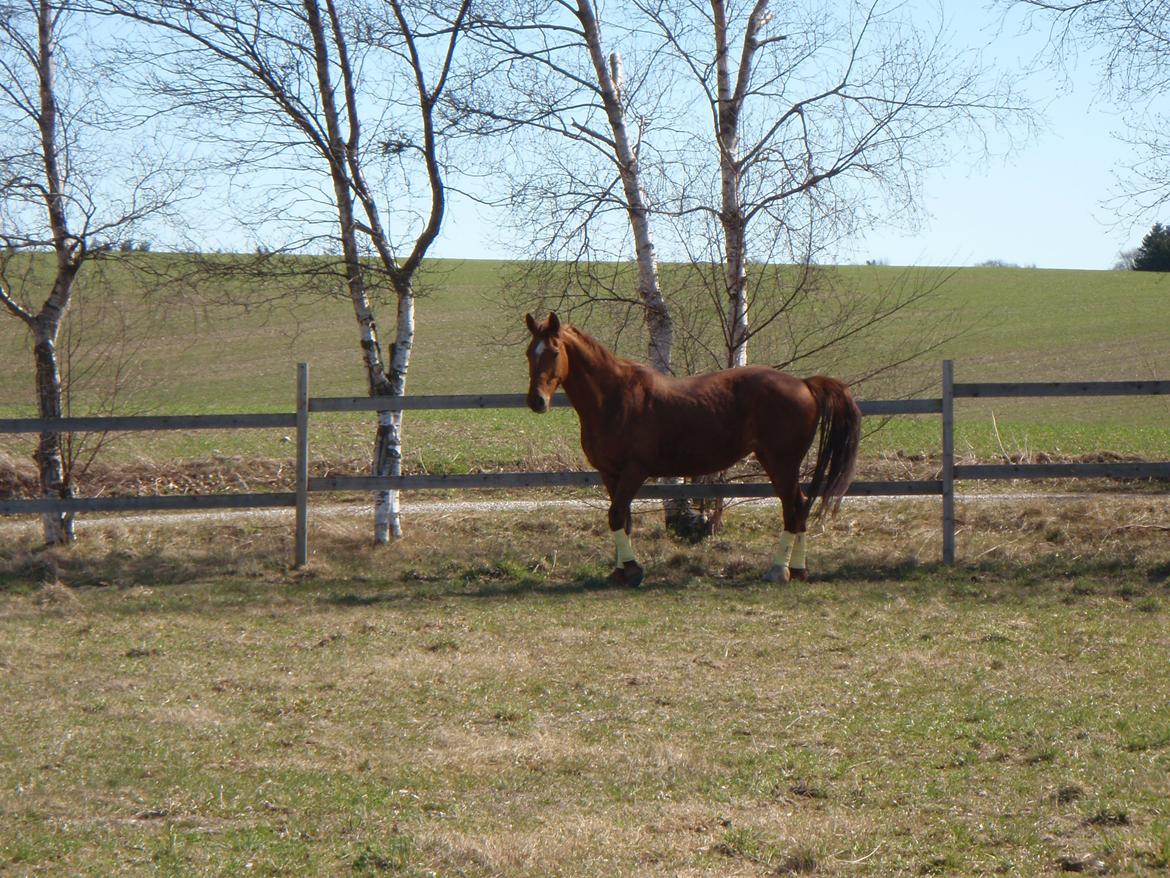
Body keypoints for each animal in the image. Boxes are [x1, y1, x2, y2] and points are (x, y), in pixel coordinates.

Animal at [524, 313, 861, 587]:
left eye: (554, 351)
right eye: (529, 352)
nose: (536, 401)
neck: (615, 398)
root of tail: (804, 384)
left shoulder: (634, 470)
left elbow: (618, 515)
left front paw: (632, 571)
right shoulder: (610, 473)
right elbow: (622, 518)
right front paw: (620, 571)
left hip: (782, 463)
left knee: (793, 508)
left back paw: (779, 570)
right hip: (775, 461)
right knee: (799, 506)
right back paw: (799, 570)